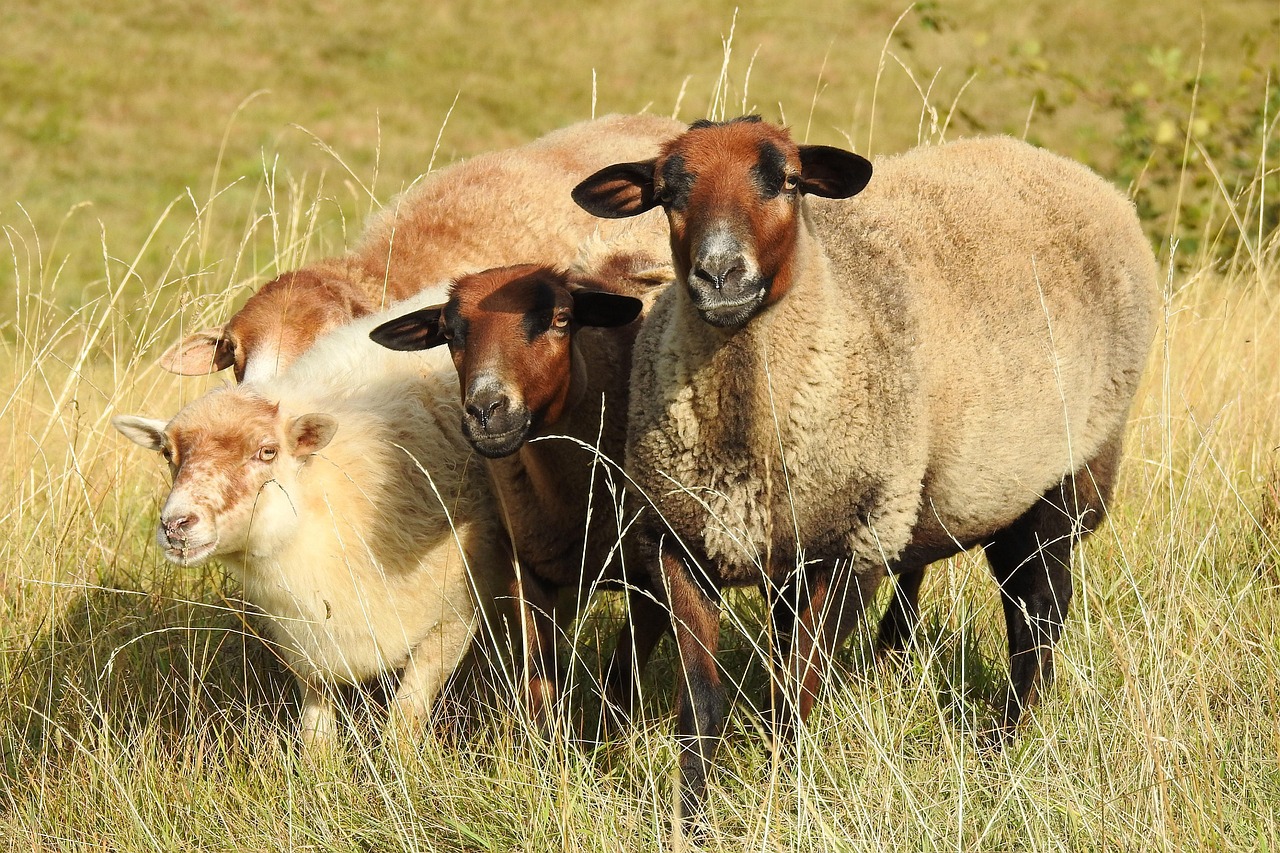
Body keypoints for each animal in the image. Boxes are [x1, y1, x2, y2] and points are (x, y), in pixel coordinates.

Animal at [114, 294, 509, 745]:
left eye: (267, 451)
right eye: (167, 454)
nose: (176, 525)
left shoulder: (452, 620)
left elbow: (404, 720)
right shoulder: (307, 640)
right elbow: (316, 730)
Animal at [366, 230, 674, 728]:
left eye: (562, 319)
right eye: (448, 334)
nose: (486, 410)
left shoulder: (657, 576)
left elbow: (620, 681)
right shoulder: (525, 570)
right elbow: (540, 685)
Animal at [572, 116, 1159, 834]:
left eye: (787, 181)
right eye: (667, 192)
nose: (721, 276)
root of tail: (1065, 168)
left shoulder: (847, 549)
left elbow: (794, 696)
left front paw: (784, 801)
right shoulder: (683, 545)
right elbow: (703, 705)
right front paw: (693, 822)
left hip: (1064, 478)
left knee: (1037, 615)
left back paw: (1000, 745)